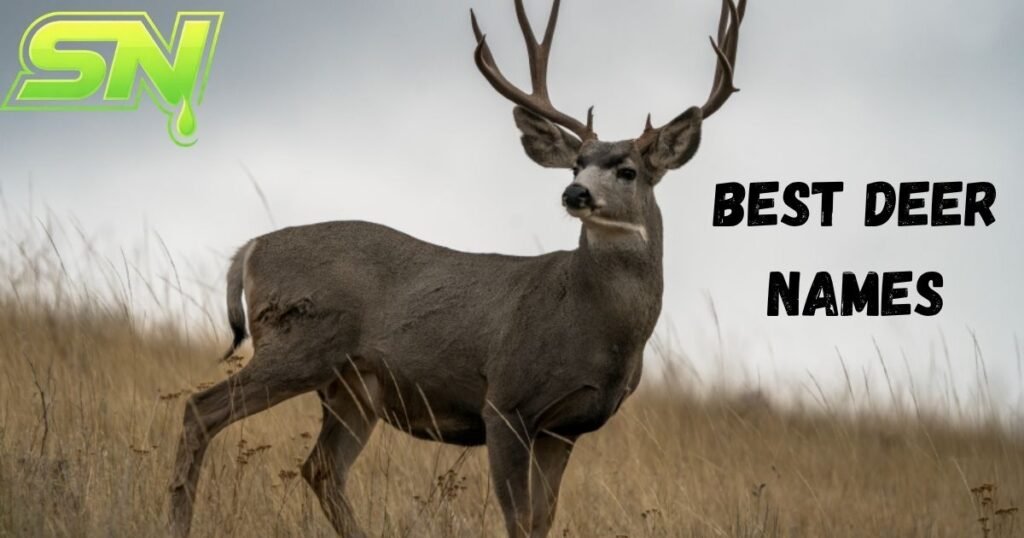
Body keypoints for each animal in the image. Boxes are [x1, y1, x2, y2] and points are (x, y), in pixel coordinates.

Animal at [169, 0, 745, 536]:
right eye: (577, 165)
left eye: (627, 170)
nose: (575, 193)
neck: (595, 327)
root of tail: (251, 248)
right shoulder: (506, 403)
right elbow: (519, 519)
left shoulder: (565, 427)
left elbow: (542, 519)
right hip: (299, 345)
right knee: (201, 410)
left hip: (352, 389)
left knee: (322, 468)